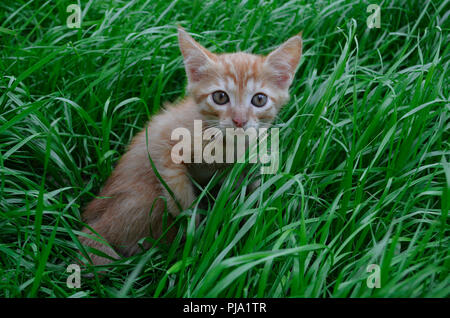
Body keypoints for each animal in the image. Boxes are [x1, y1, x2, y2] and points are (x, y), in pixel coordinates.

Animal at [78, 26, 302, 266]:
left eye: (259, 100)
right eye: (220, 97)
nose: (239, 120)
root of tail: (94, 224)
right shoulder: (166, 152)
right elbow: (181, 197)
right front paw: (195, 235)